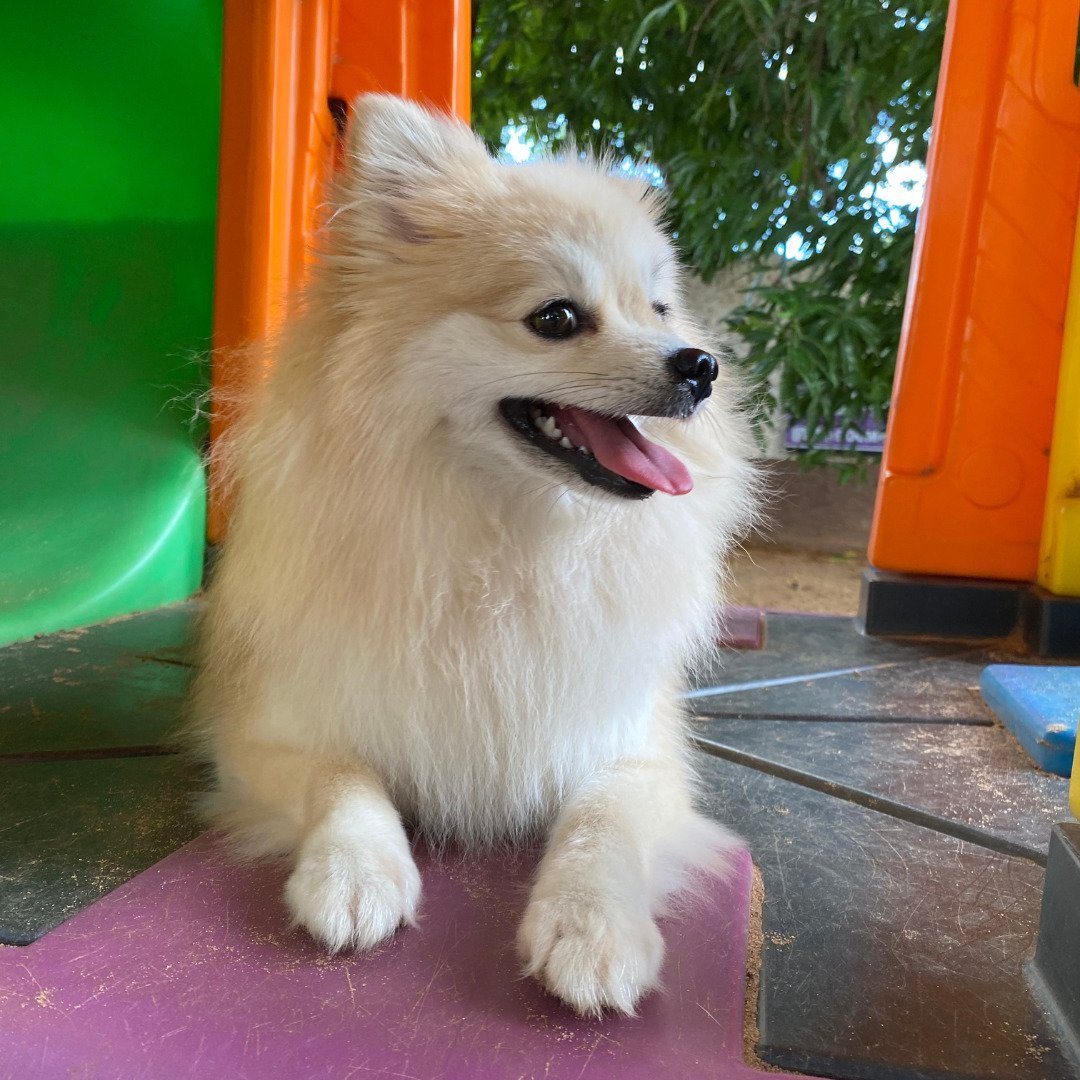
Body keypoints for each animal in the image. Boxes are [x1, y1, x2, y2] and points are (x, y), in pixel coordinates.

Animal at [193, 93, 757, 1017]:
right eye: (556, 319)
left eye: (659, 310)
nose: (700, 366)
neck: (509, 541)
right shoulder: (273, 731)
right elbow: (344, 780)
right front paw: (355, 869)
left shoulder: (636, 749)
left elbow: (601, 820)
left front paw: (592, 926)